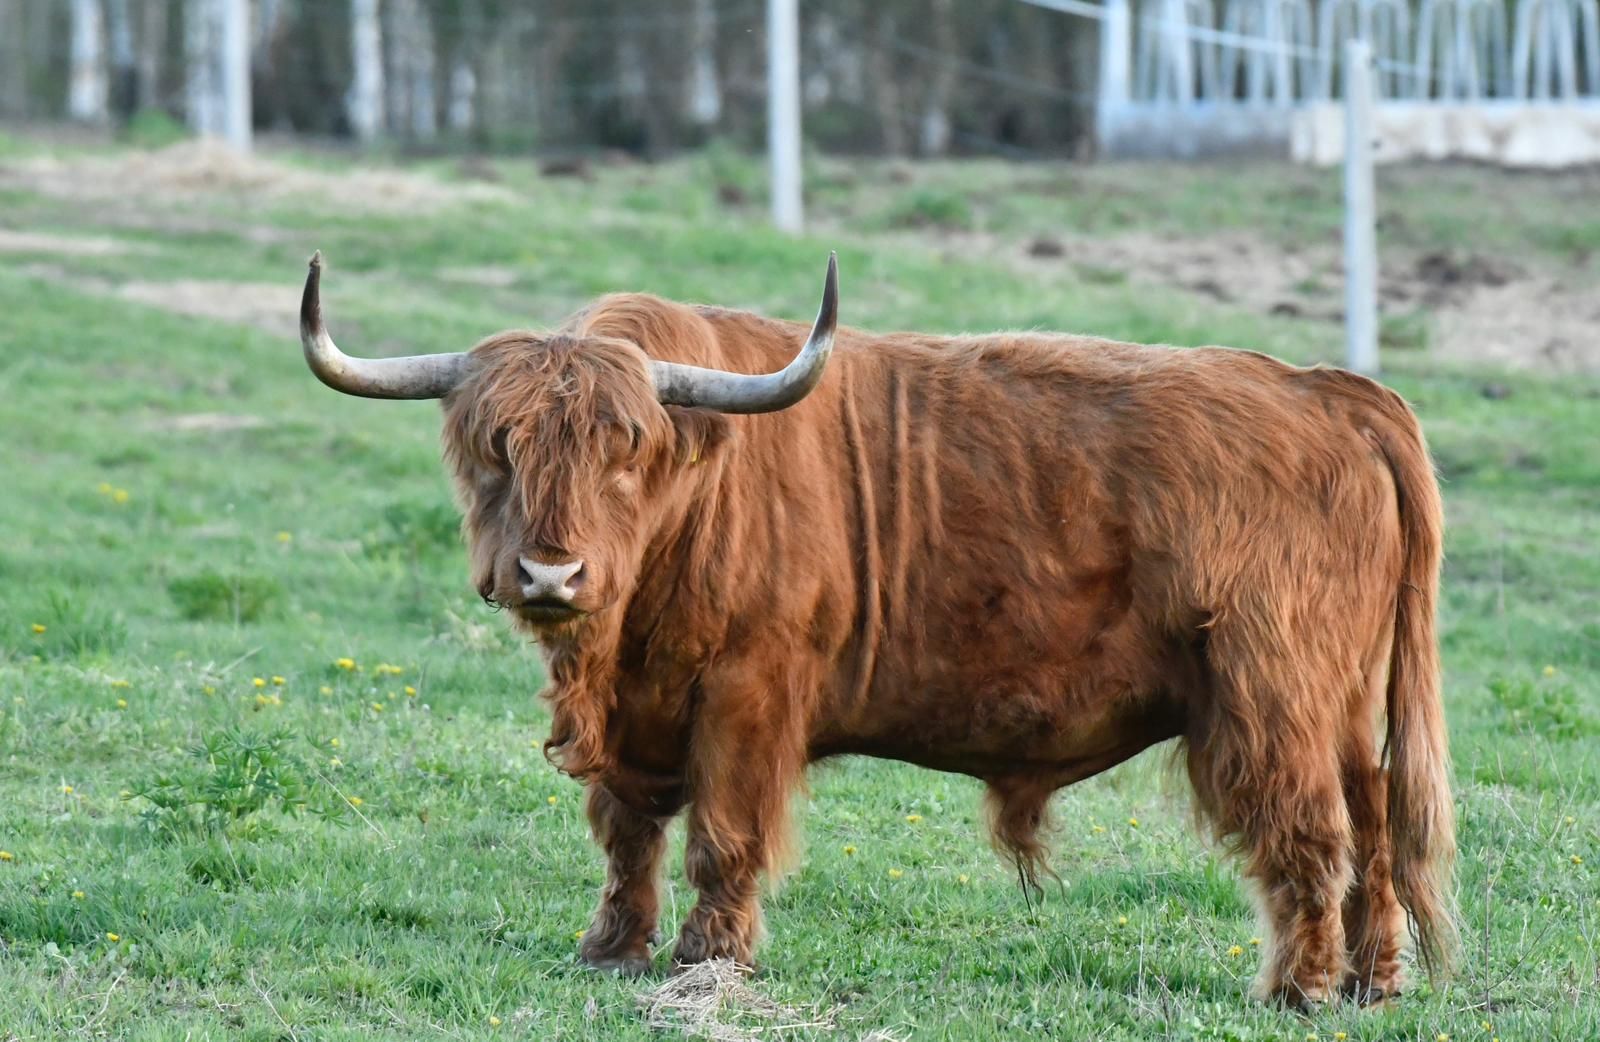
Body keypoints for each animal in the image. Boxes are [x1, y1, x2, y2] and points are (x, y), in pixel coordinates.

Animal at [296, 250, 1454, 1008]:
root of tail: (1329, 392)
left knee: (1311, 831)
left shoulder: (748, 691)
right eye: (498, 445)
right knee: (1375, 823)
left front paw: (708, 957)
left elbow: (723, 834)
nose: (551, 571)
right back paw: (1373, 982)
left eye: (627, 449)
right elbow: (627, 832)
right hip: (1343, 701)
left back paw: (1298, 988)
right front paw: (610, 948)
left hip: (1272, 694)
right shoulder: (635, 714)